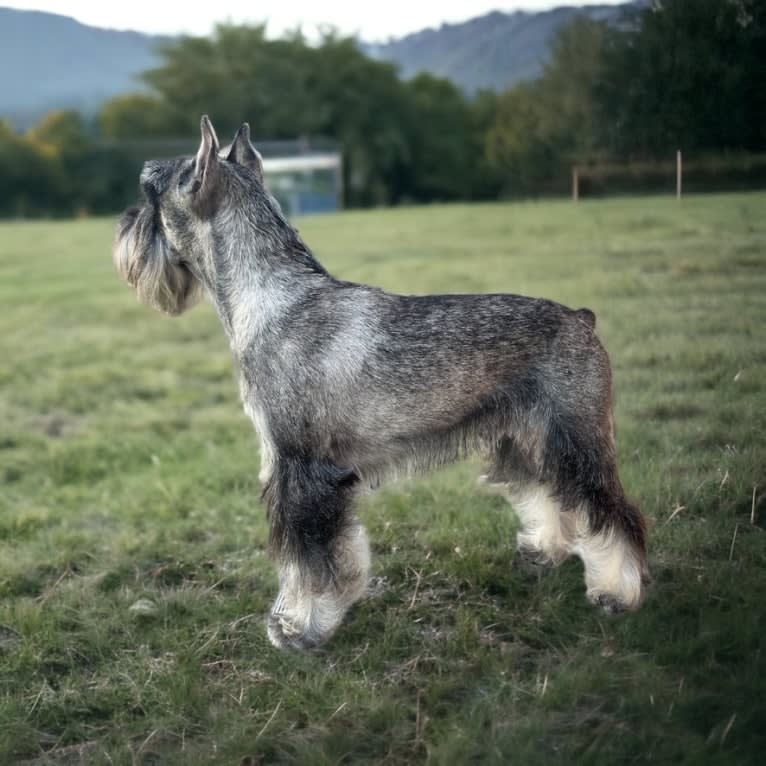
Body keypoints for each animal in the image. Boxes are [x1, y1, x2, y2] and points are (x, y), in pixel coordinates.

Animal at [114, 117, 652, 652]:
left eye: (150, 191)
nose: (122, 229)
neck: (272, 299)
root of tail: (582, 318)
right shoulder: (305, 473)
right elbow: (325, 556)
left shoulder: (303, 473)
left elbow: (309, 562)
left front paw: (299, 627)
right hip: (527, 439)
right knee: (551, 494)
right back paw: (545, 551)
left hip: (577, 439)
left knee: (613, 513)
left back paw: (617, 593)